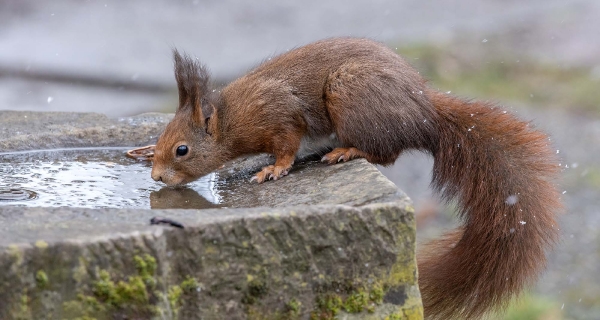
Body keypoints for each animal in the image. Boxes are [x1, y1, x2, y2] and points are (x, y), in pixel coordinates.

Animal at [150, 38, 564, 320]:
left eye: (182, 150)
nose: (155, 176)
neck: (232, 118)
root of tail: (424, 112)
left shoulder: (280, 116)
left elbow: (287, 144)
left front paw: (273, 168)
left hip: (350, 94)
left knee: (386, 151)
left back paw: (345, 151)